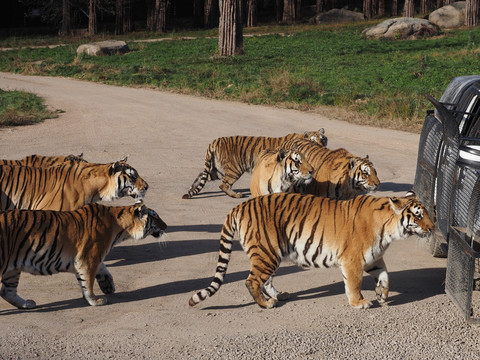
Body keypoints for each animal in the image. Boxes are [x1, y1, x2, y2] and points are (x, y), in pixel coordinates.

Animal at [0, 201, 167, 308]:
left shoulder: (94, 256)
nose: (166, 226)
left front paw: (108, 286)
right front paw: (94, 301)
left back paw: (26, 304)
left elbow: (103, 270)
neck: (120, 227)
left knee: (7, 291)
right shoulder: (88, 258)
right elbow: (88, 281)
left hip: (12, 269)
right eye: (155, 217)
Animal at [182, 129, 328, 200]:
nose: (322, 147)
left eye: (323, 139)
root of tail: (214, 141)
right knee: (223, 184)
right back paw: (236, 195)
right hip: (234, 169)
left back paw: (191, 191)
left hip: (217, 170)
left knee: (202, 176)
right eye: (314, 140)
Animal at [189, 191, 434, 310]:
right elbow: (354, 284)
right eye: (418, 215)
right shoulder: (353, 260)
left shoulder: (374, 259)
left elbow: (385, 277)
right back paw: (266, 303)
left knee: (264, 280)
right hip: (267, 251)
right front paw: (360, 303)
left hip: (271, 254)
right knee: (252, 280)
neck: (389, 230)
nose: (432, 227)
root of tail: (239, 206)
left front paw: (382, 295)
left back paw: (279, 295)